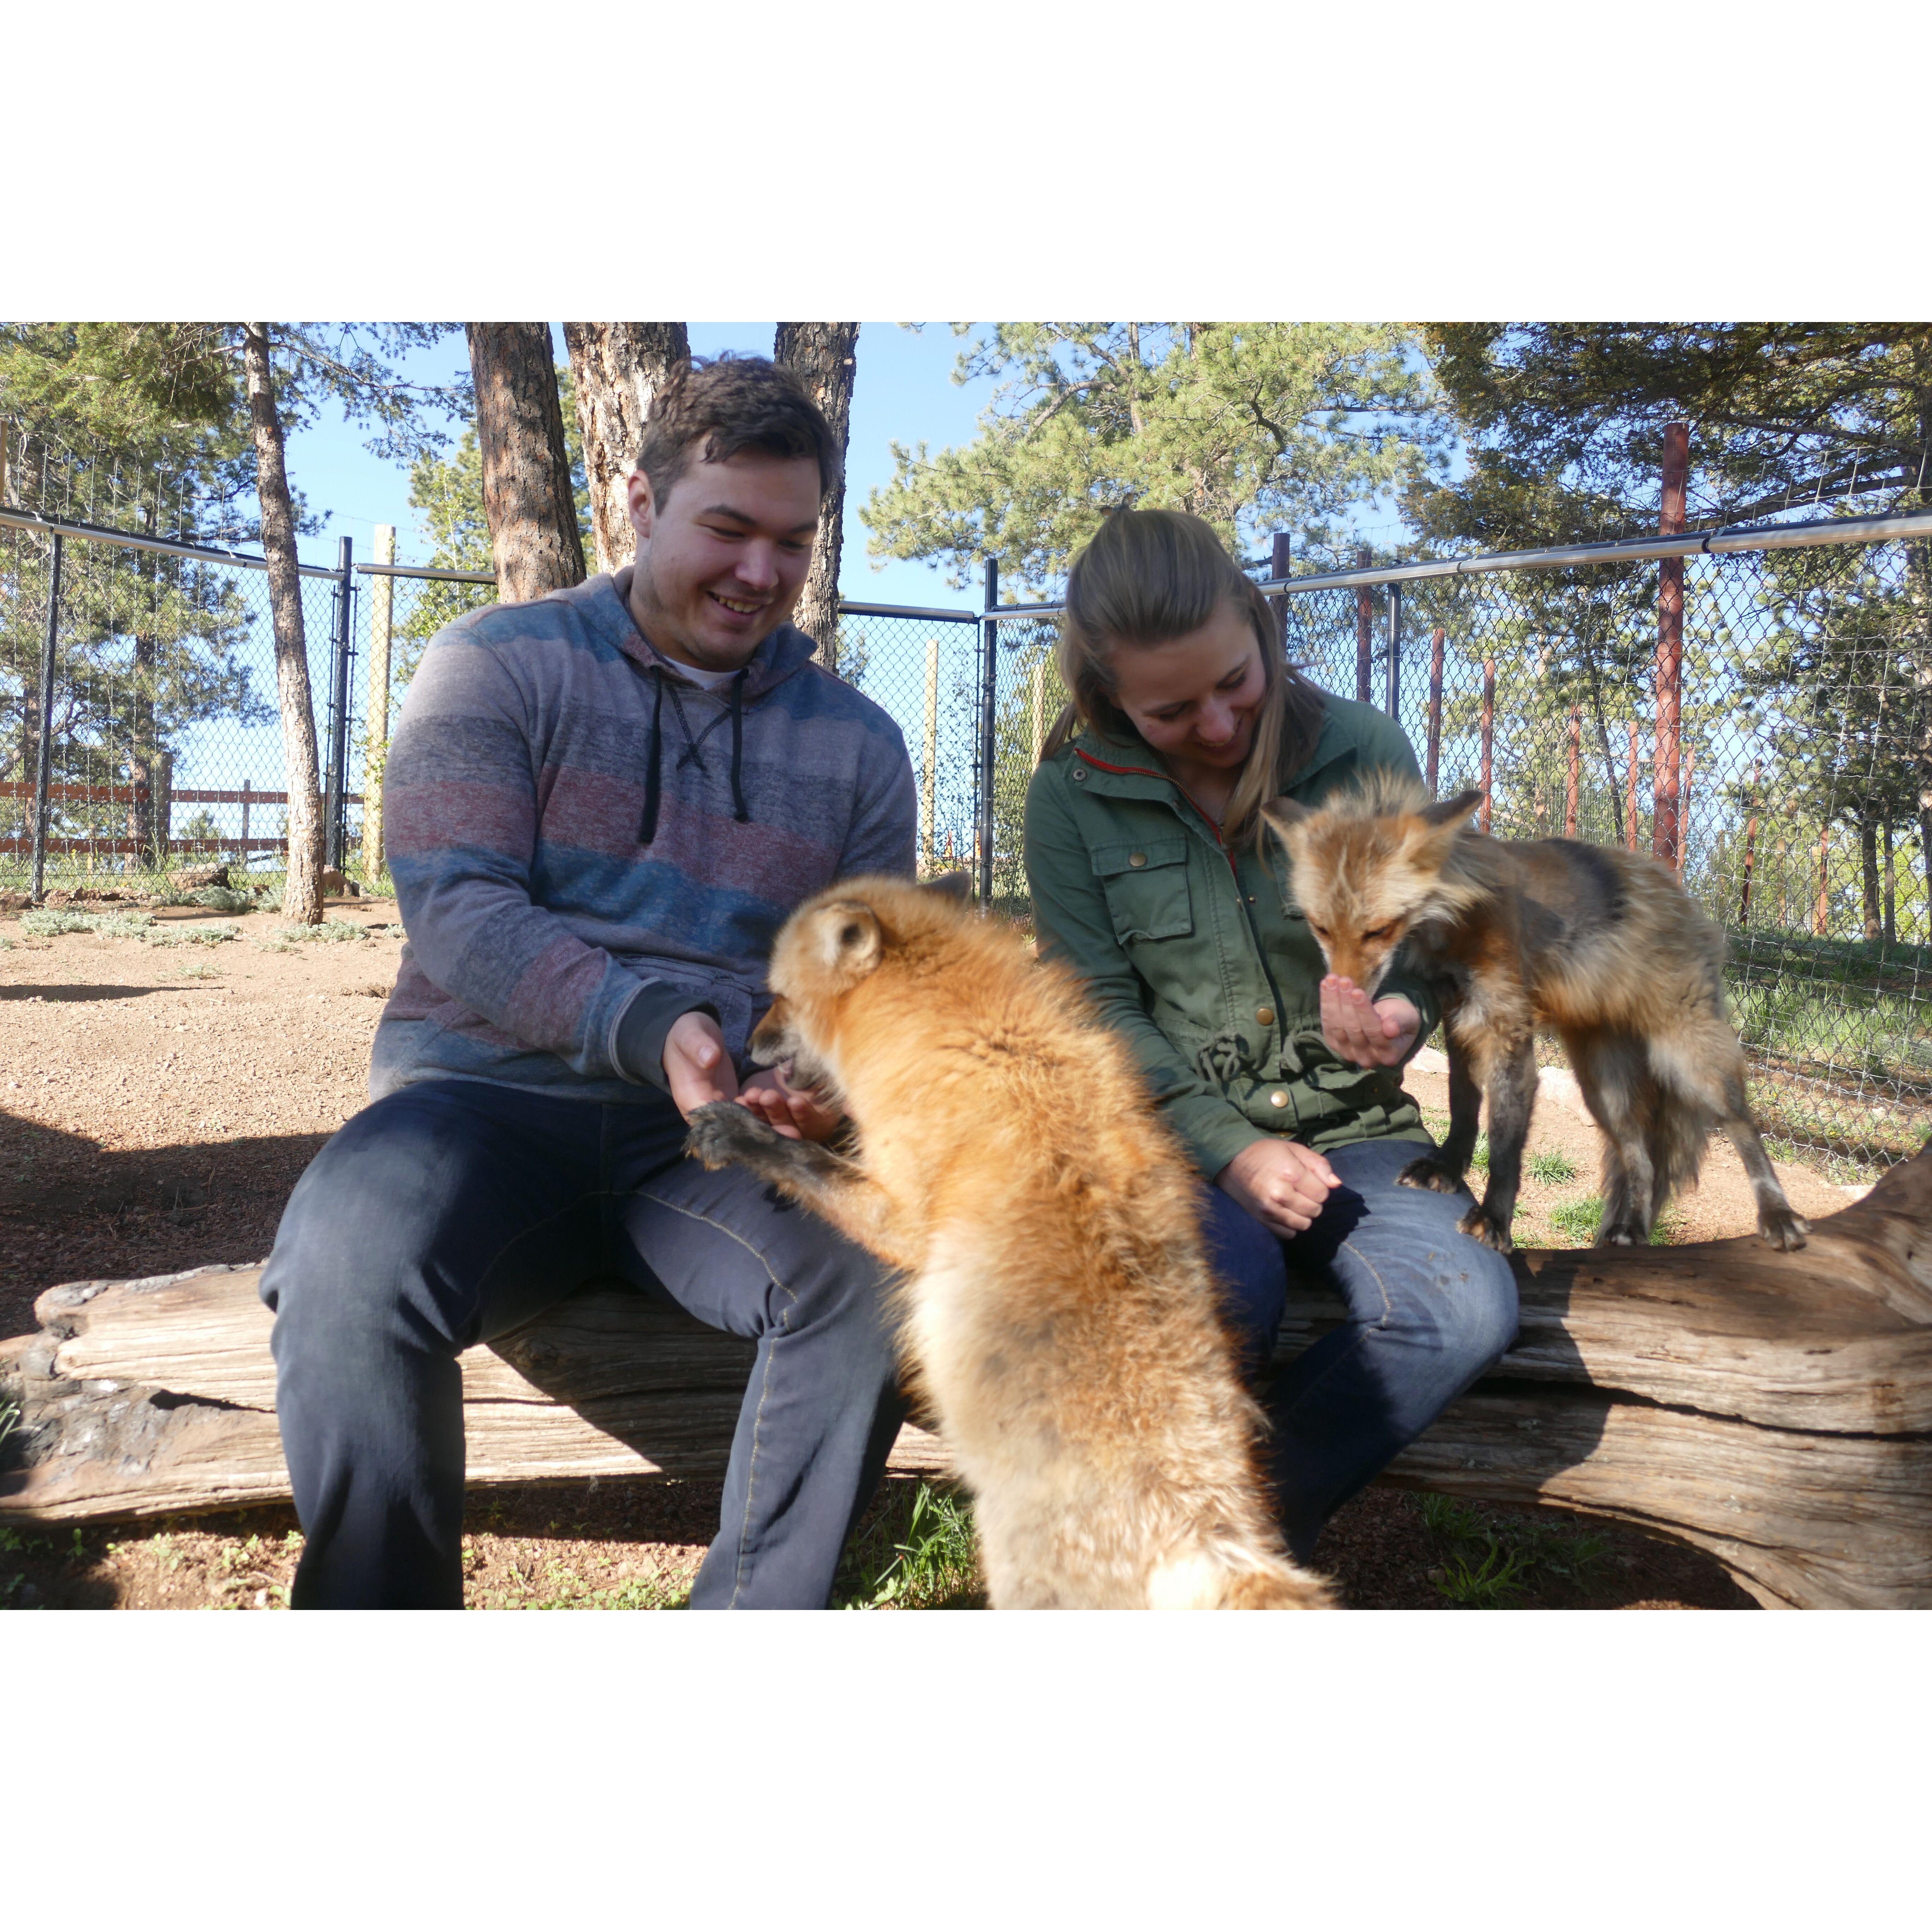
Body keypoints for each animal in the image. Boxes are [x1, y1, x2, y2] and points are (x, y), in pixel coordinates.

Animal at [688, 877, 1337, 1615]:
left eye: (780, 996)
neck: (968, 1038)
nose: (746, 1040)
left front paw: (737, 1133)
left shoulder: (898, 1214)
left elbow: (804, 1162)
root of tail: (1201, 1529)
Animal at [1259, 776, 1800, 1259]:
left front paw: (1493, 1220)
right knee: (1641, 1161)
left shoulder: (1506, 1032)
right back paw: (1630, 1230)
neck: (1453, 929)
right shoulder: (1460, 1023)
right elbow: (1462, 1109)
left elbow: (1503, 1144)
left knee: (1742, 1125)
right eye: (1320, 928)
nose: (1341, 996)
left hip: (1688, 1057)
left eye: (1378, 931)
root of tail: (1681, 895)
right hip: (1605, 1090)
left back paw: (1778, 1215)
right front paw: (1447, 1169)